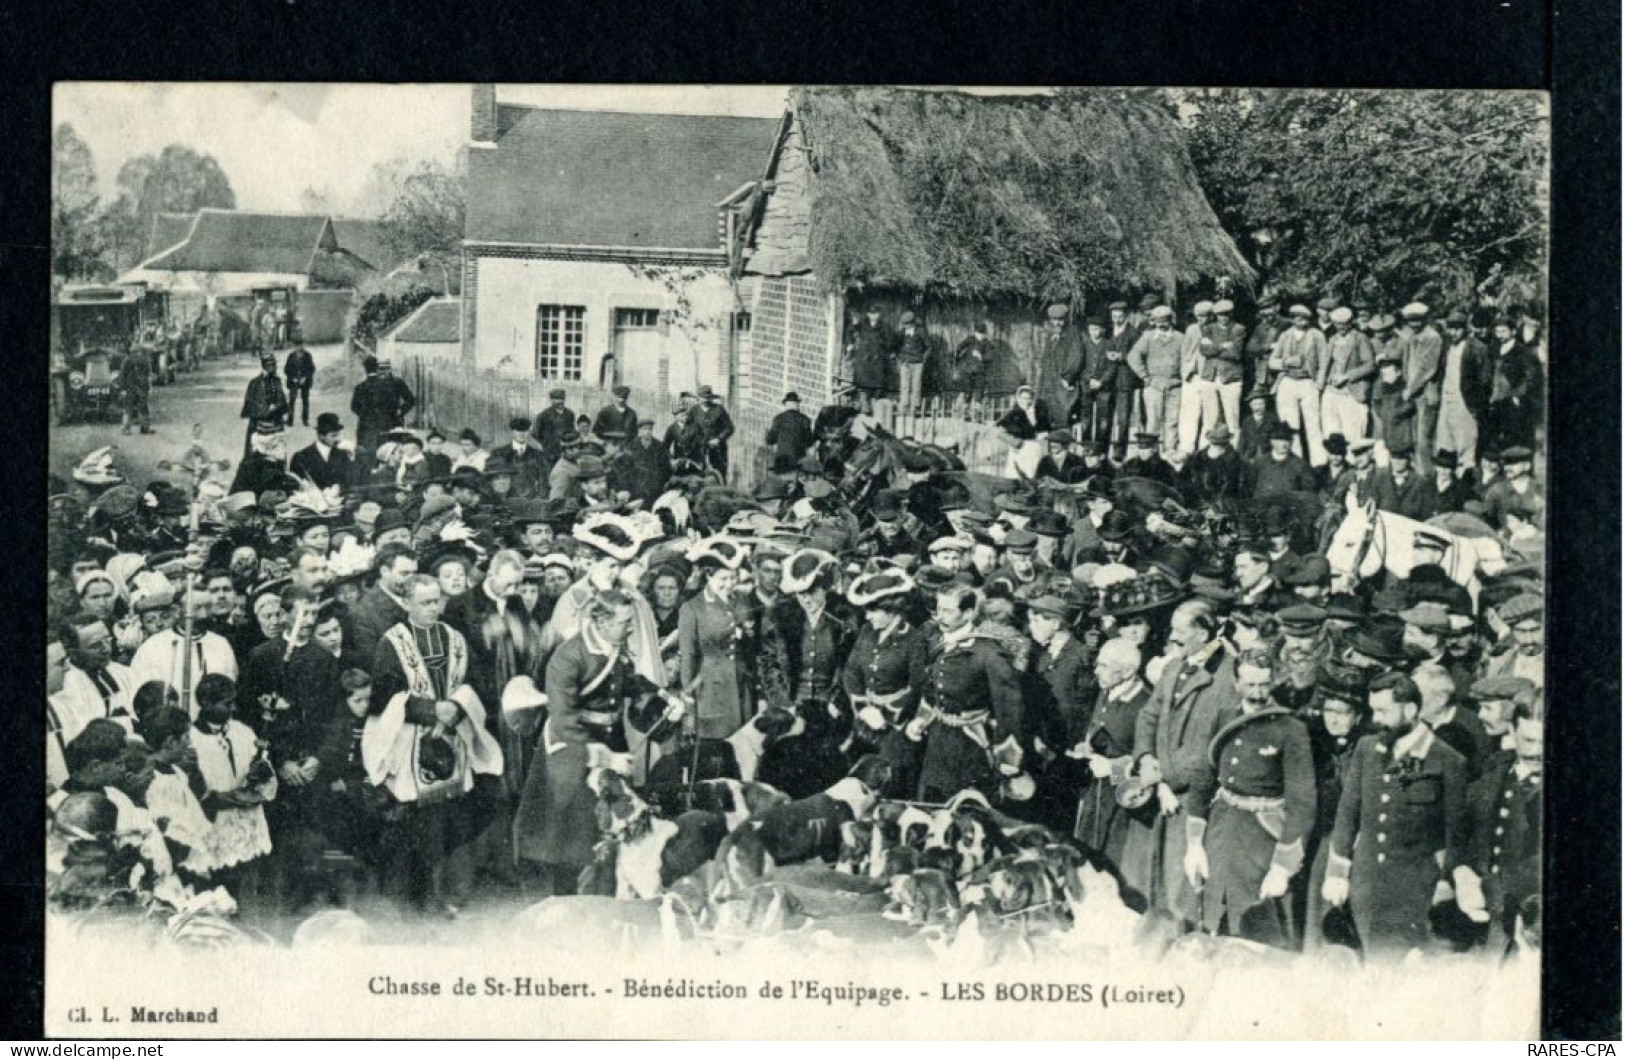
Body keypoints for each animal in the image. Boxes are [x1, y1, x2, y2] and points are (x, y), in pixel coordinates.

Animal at [588, 766, 728, 896]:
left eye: (601, 778)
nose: (591, 768)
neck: (635, 831)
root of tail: (715, 817)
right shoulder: (625, 887)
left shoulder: (649, 891)